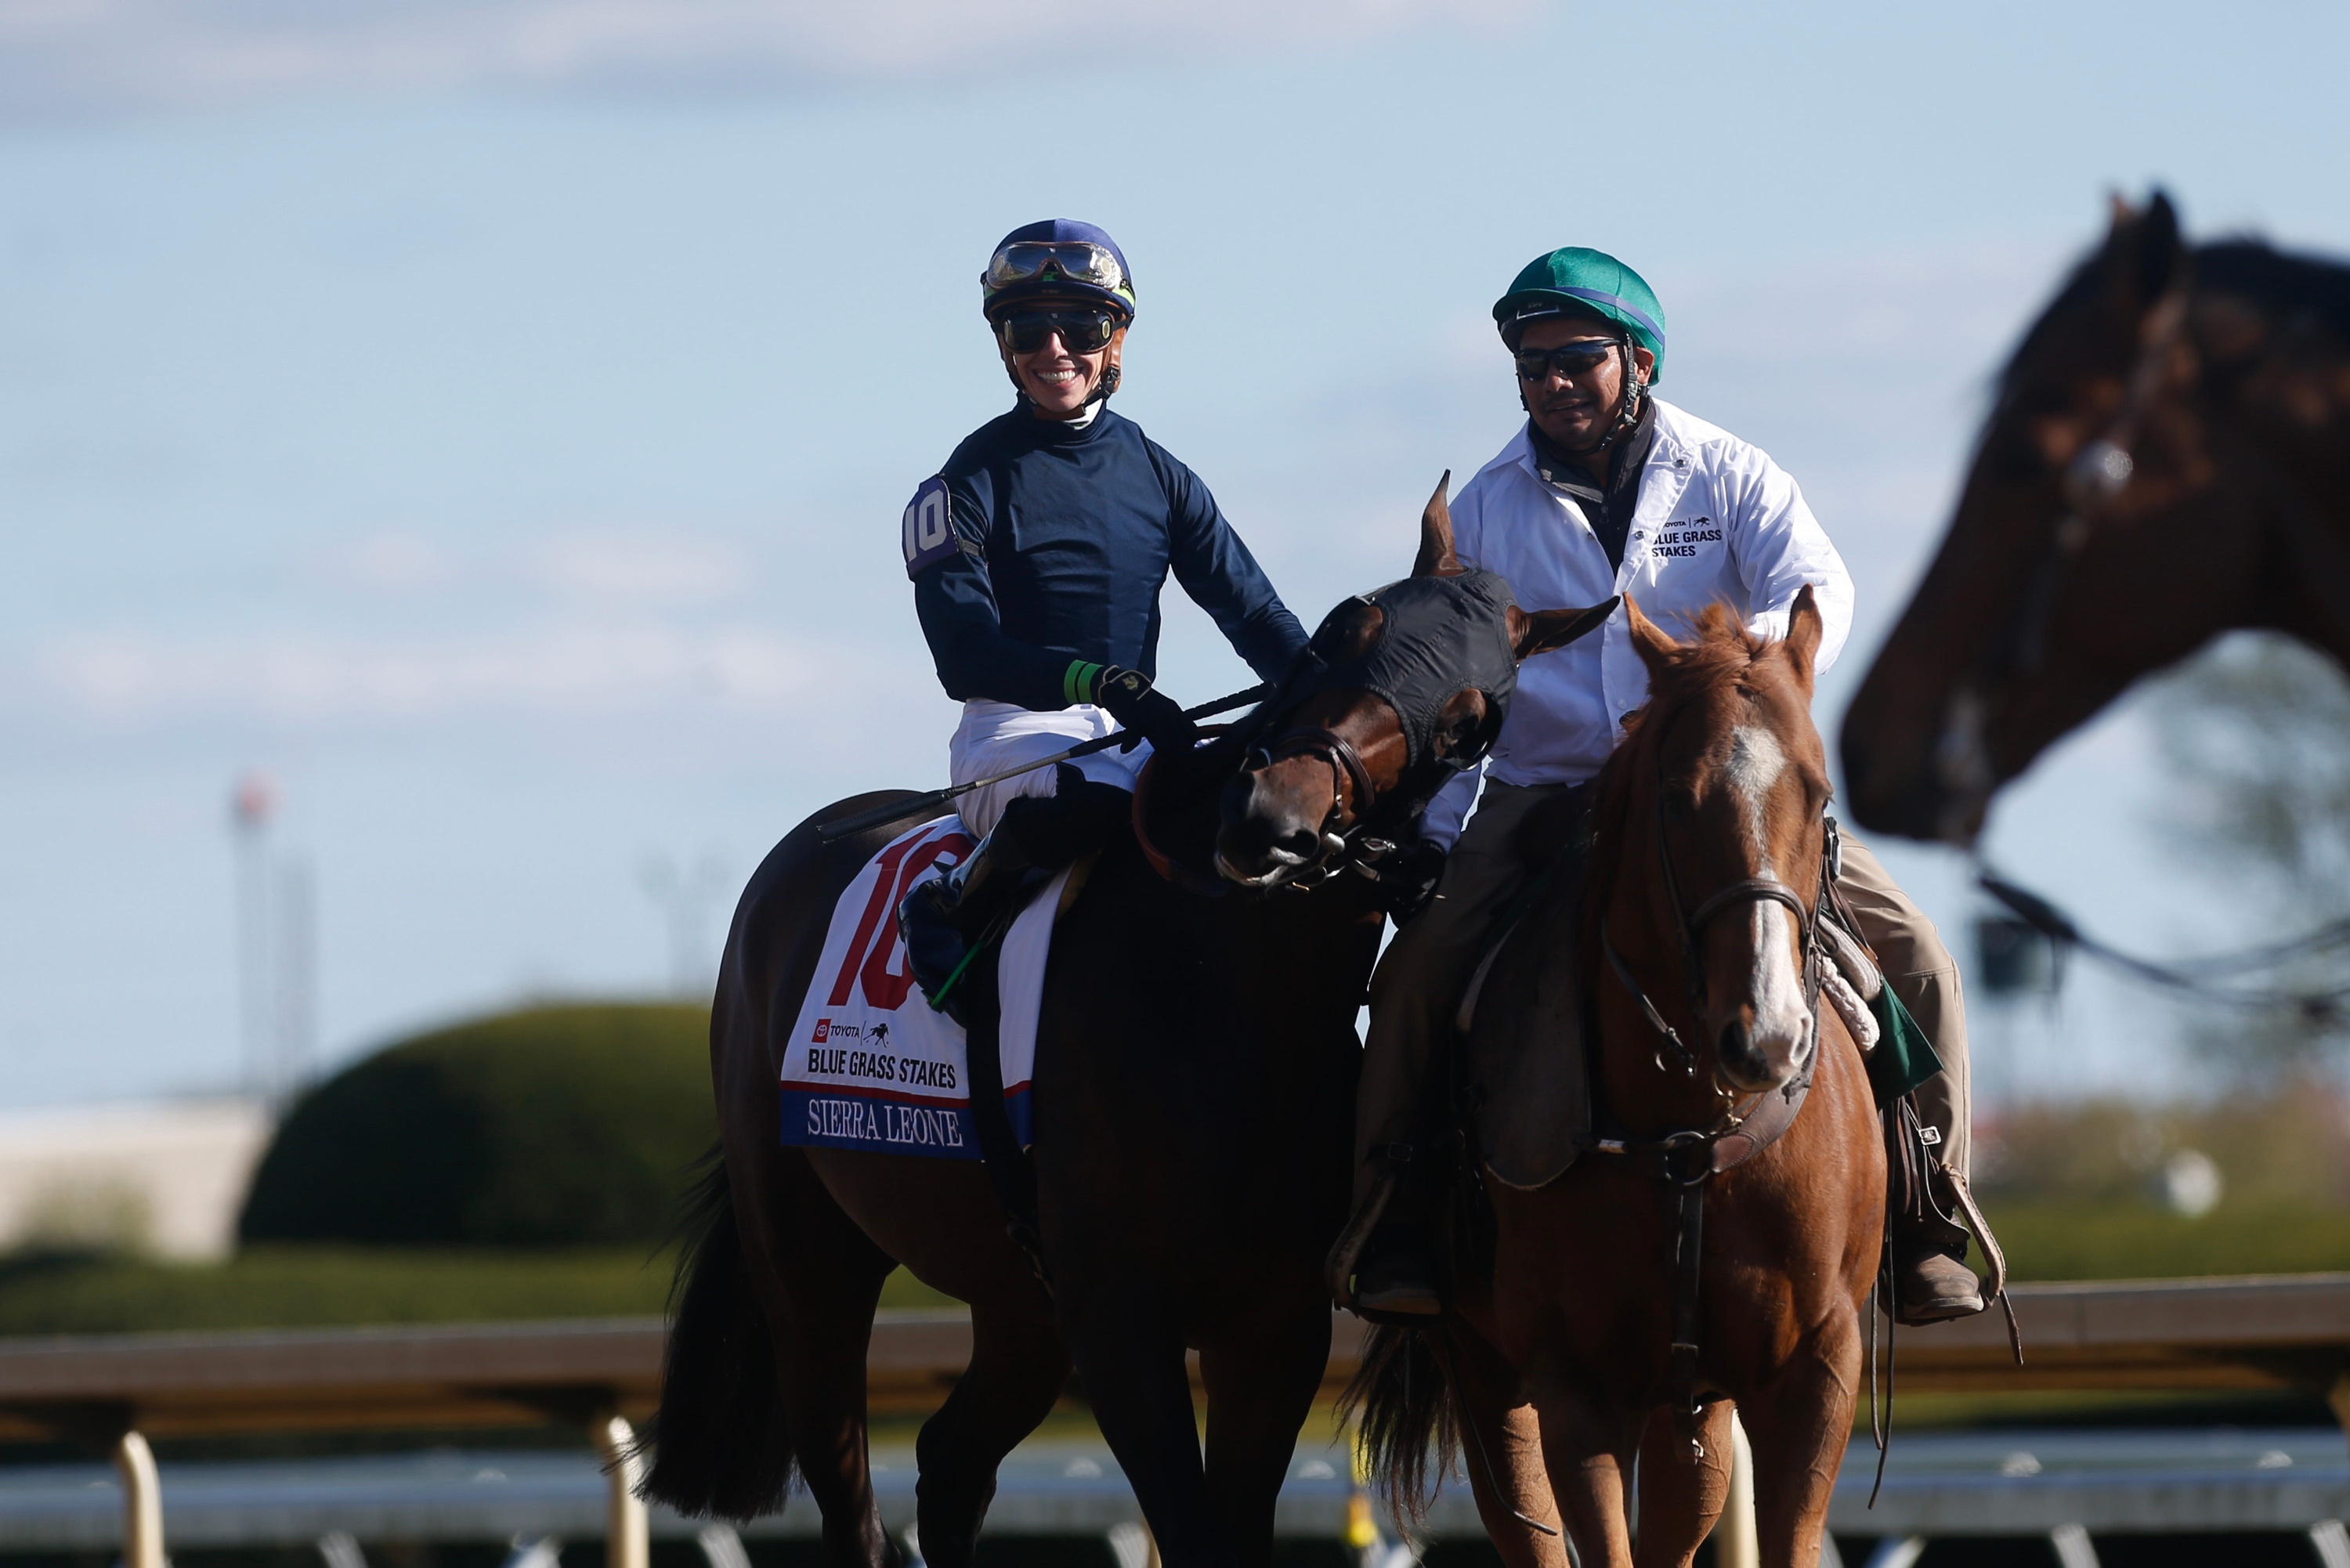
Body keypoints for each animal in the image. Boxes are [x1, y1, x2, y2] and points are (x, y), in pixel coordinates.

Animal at [644, 500, 1617, 1568]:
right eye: (1344, 628)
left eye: (1468, 720)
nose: (1272, 818)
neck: (1220, 1001)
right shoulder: (1119, 1319)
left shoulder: (1271, 1327)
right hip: (807, 1256)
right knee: (850, 1495)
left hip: (1017, 1303)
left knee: (950, 1462)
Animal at [1354, 583, 1880, 1568]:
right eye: (1677, 799)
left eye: (1819, 791)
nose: (1768, 1036)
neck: (1689, 1127)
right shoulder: (1575, 1386)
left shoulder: (1813, 1370)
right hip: (1484, 1370)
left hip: (1694, 1401)